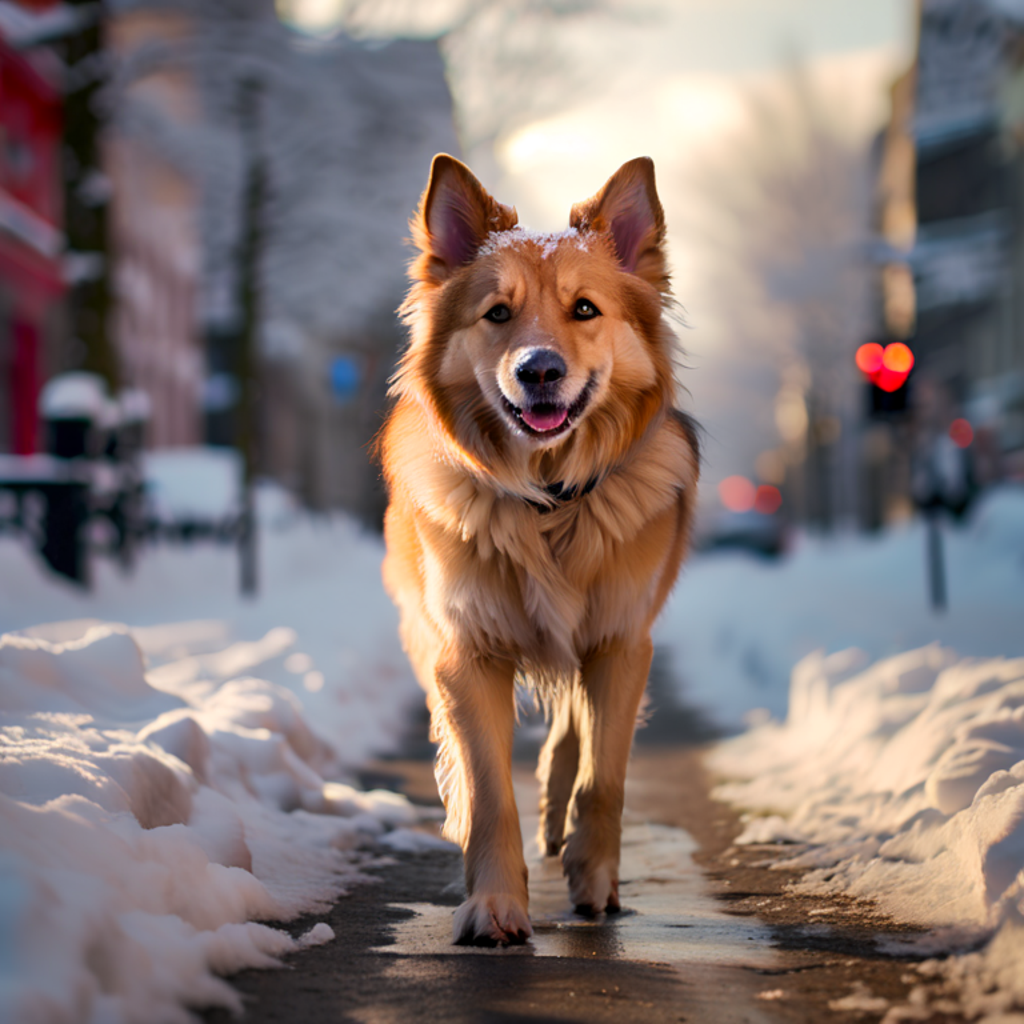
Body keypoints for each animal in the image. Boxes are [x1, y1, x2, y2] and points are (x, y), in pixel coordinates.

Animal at [380, 151, 700, 942]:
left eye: (584, 309)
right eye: (497, 313)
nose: (539, 370)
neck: (549, 504)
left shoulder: (622, 641)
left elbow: (604, 775)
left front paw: (595, 879)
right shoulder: (465, 652)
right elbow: (490, 791)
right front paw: (494, 904)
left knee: (573, 736)